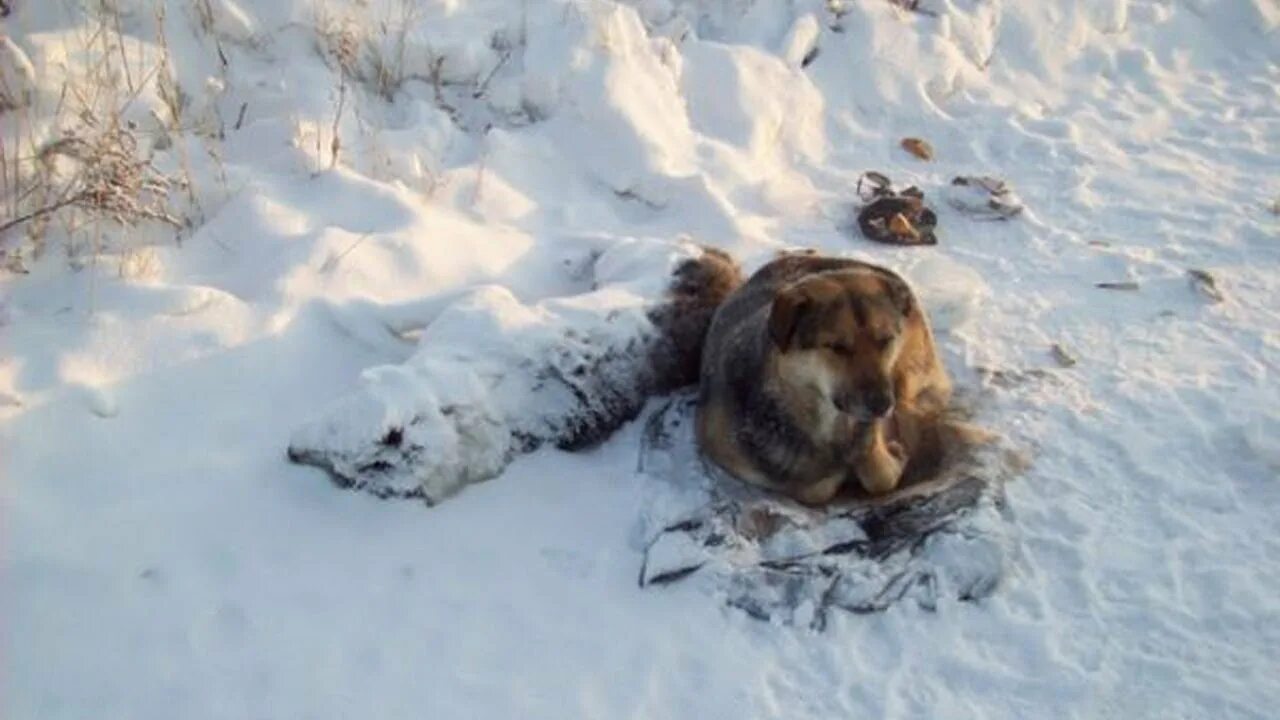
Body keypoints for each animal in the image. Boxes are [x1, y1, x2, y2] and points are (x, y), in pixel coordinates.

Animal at [696, 252, 957, 504]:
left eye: (885, 340)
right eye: (837, 347)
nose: (882, 405)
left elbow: (878, 475)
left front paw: (891, 455)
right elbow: (815, 488)